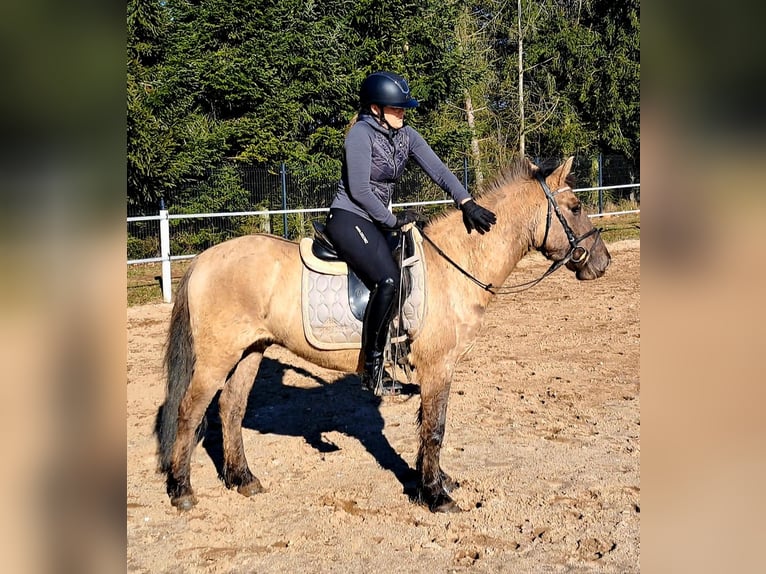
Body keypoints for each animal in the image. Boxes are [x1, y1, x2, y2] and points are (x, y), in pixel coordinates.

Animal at [156, 156, 611, 513]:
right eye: (575, 206)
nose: (602, 262)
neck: (456, 264)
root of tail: (203, 260)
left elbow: (429, 425)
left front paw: (434, 481)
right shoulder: (438, 366)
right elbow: (435, 427)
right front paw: (436, 496)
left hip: (251, 350)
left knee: (230, 409)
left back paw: (243, 479)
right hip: (216, 357)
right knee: (189, 412)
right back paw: (181, 490)